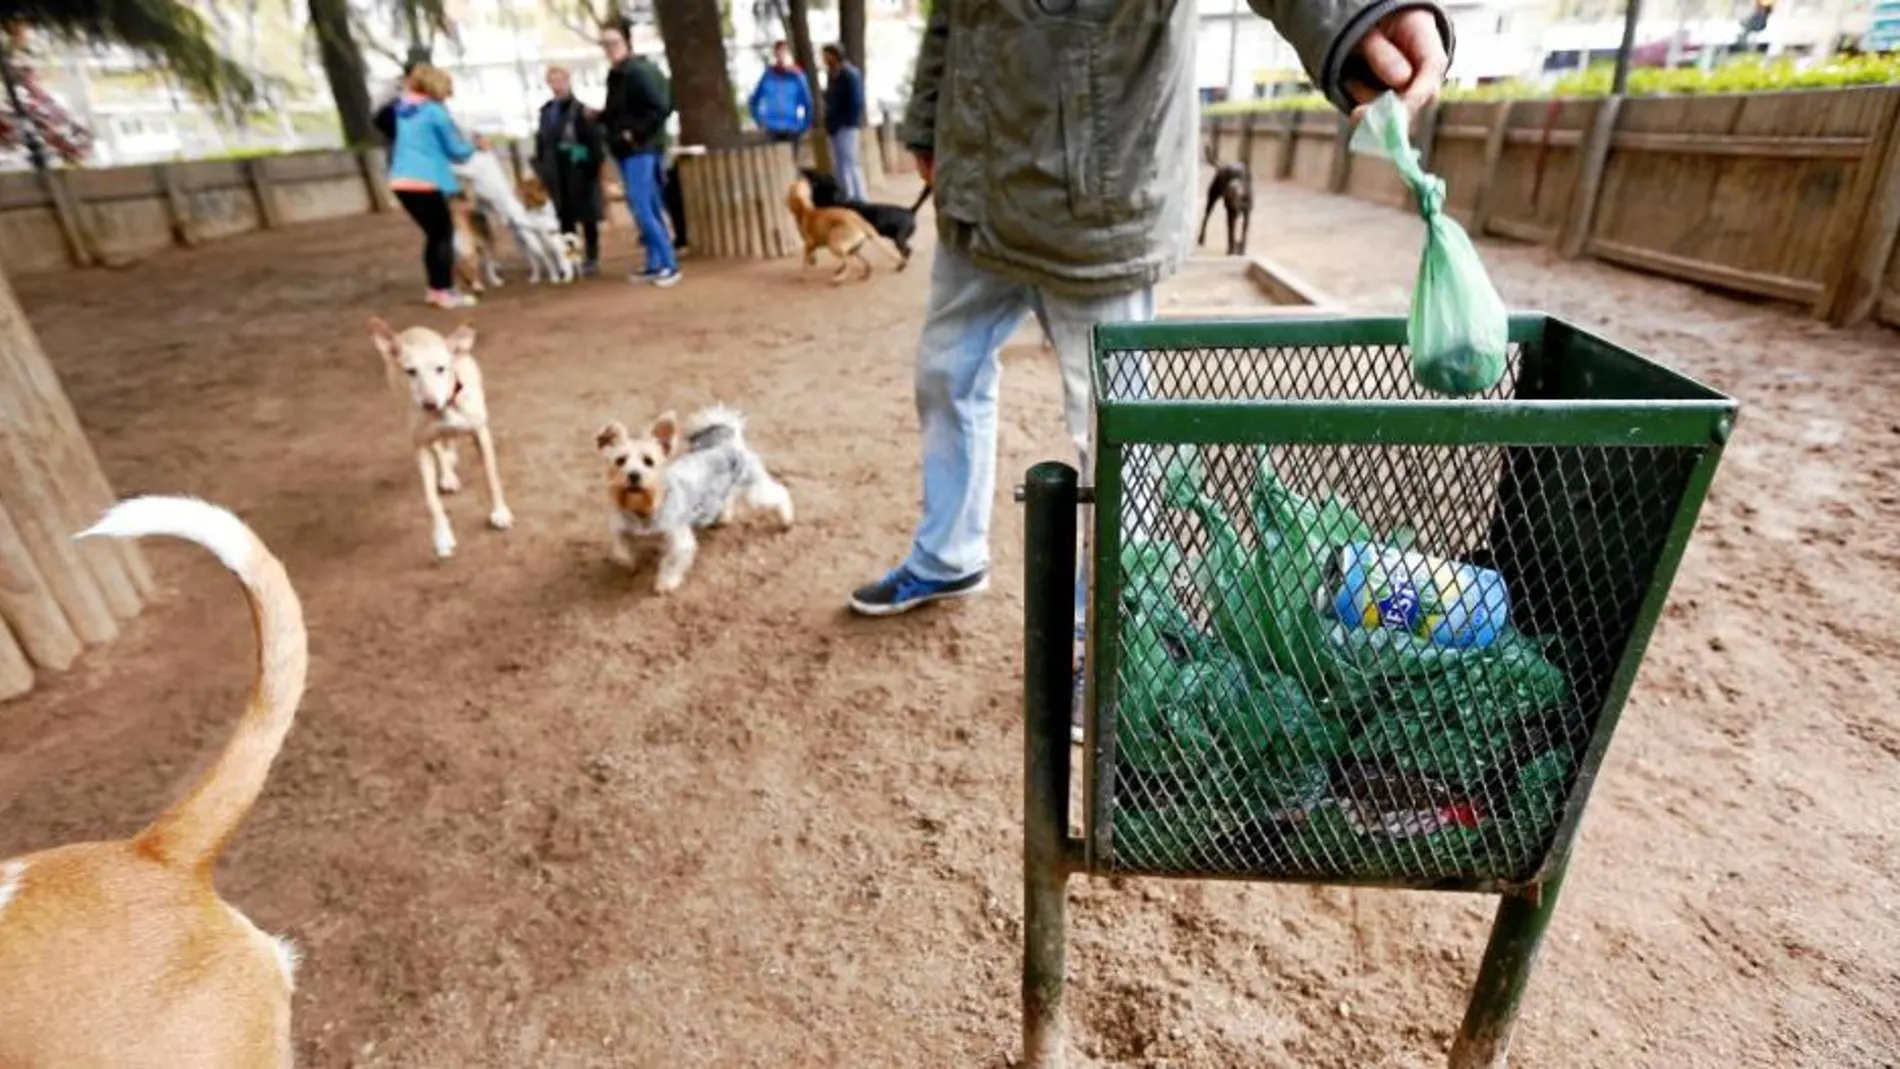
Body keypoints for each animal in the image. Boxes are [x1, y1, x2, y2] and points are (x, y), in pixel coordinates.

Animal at [368, 315, 513, 562]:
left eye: (441, 369)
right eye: (411, 371)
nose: (429, 404)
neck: (445, 409)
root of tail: (413, 329)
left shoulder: (481, 433)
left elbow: (492, 478)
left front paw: (500, 512)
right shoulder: (420, 446)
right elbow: (431, 500)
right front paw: (442, 536)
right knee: (439, 449)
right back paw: (447, 474)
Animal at [596, 408, 798, 600]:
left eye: (649, 461)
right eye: (620, 460)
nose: (634, 475)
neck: (645, 506)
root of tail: (727, 442)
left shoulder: (679, 540)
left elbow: (671, 563)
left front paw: (665, 583)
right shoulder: (620, 525)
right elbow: (619, 548)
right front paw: (628, 562)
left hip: (755, 488)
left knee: (780, 493)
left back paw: (786, 520)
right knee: (729, 498)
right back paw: (724, 517)